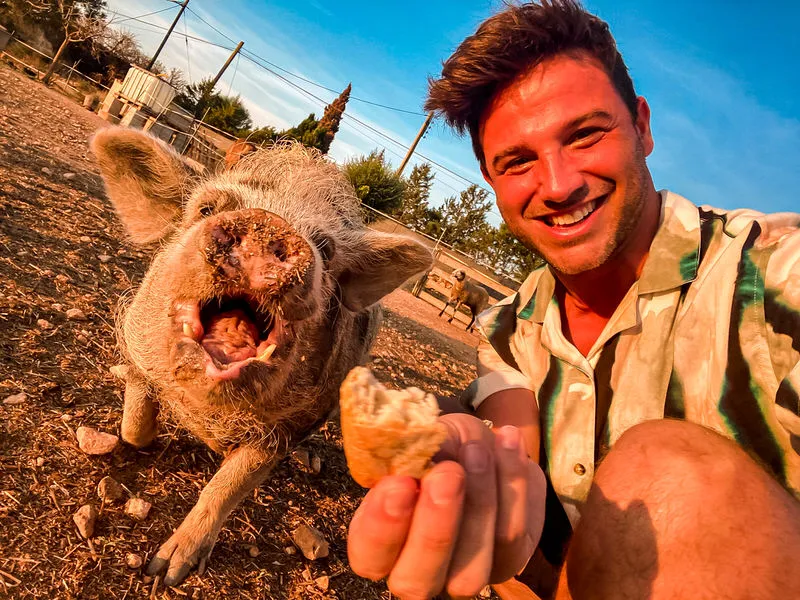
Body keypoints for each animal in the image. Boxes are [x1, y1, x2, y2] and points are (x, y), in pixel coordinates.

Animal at [90, 128, 432, 586]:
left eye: (326, 248)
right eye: (206, 208)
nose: (271, 225)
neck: (207, 412)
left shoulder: (286, 430)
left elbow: (226, 487)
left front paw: (166, 572)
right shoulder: (142, 351)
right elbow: (134, 427)